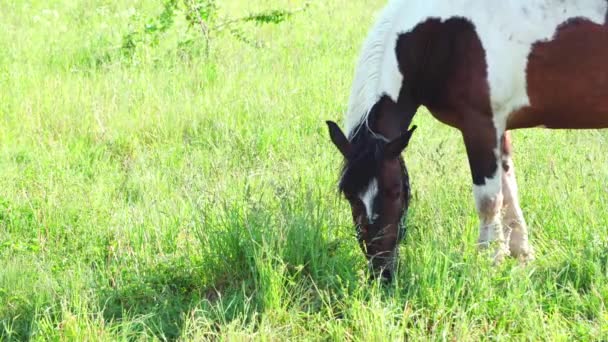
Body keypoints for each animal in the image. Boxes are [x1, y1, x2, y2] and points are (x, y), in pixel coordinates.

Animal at [326, 0, 608, 280]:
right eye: (349, 195)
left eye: (394, 192)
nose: (382, 272)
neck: (440, 36)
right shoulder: (498, 127)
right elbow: (509, 190)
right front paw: (521, 255)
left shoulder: (480, 127)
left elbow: (489, 201)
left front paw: (489, 262)